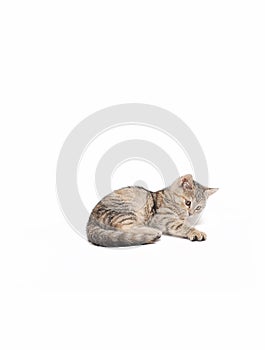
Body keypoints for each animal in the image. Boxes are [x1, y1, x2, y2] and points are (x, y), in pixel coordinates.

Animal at [86, 174, 217, 246]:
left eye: (198, 208)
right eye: (188, 203)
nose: (190, 213)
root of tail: (90, 219)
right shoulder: (163, 218)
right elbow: (182, 226)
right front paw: (196, 232)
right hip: (126, 211)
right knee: (125, 228)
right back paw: (152, 233)